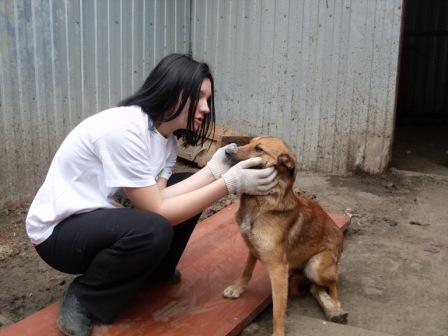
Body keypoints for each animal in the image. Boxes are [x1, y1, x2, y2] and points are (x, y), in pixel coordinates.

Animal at [223, 136, 346, 336]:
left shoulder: (278, 268)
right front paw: (237, 288)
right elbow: (247, 270)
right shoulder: (253, 248)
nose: (227, 151)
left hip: (316, 266)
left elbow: (278, 310)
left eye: (259, 149)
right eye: (249, 142)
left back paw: (334, 304)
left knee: (332, 283)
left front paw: (278, 333)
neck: (261, 204)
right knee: (311, 284)